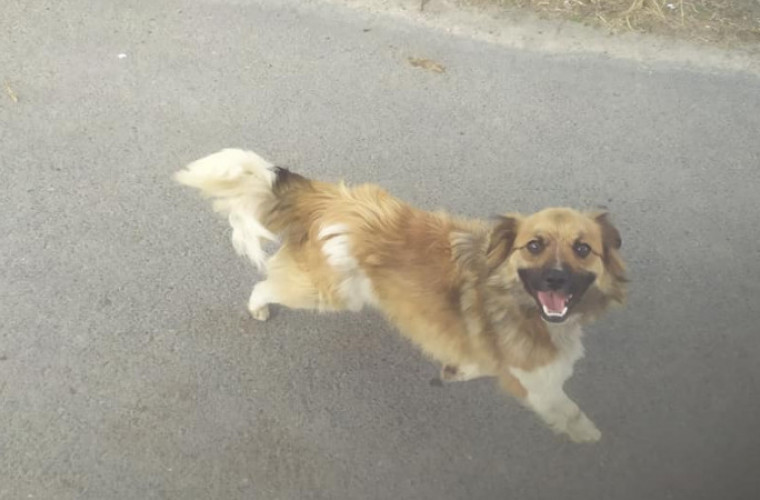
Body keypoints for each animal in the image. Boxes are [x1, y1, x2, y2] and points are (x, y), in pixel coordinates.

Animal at [175, 148, 626, 442]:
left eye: (582, 249)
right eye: (534, 246)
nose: (555, 280)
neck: (513, 293)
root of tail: (333, 199)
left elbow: (473, 363)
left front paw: (455, 371)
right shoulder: (537, 384)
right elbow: (570, 413)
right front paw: (595, 438)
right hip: (329, 293)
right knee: (265, 284)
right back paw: (258, 308)